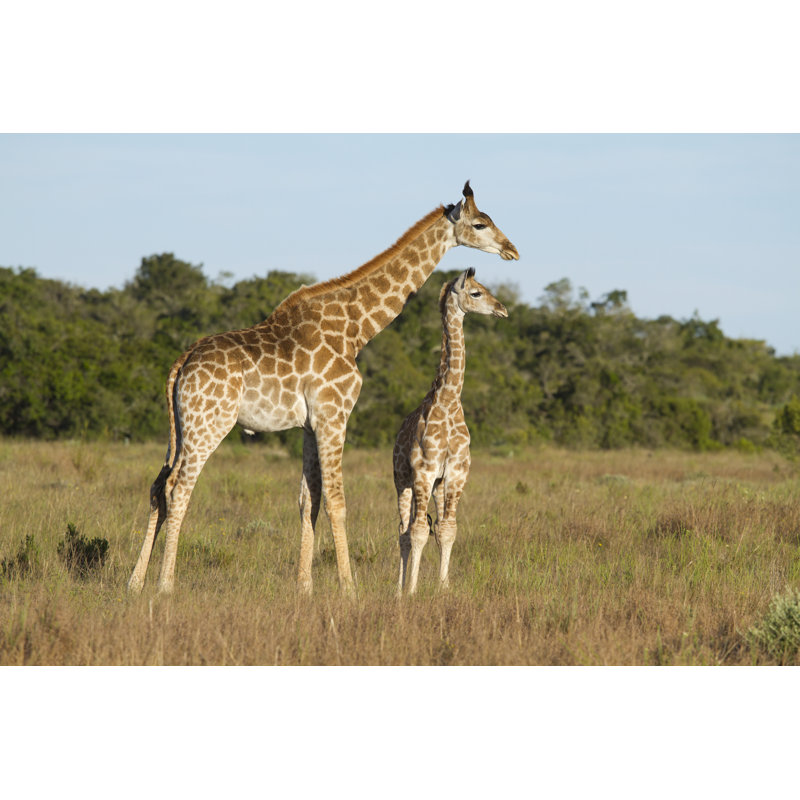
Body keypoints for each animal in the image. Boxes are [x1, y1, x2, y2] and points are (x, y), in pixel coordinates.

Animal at [393, 268, 507, 595]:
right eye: (476, 293)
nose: (502, 309)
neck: (448, 400)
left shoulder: (455, 473)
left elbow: (447, 529)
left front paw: (443, 588)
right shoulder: (423, 471)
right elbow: (418, 531)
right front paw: (412, 590)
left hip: (438, 485)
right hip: (402, 480)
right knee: (404, 530)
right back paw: (398, 589)